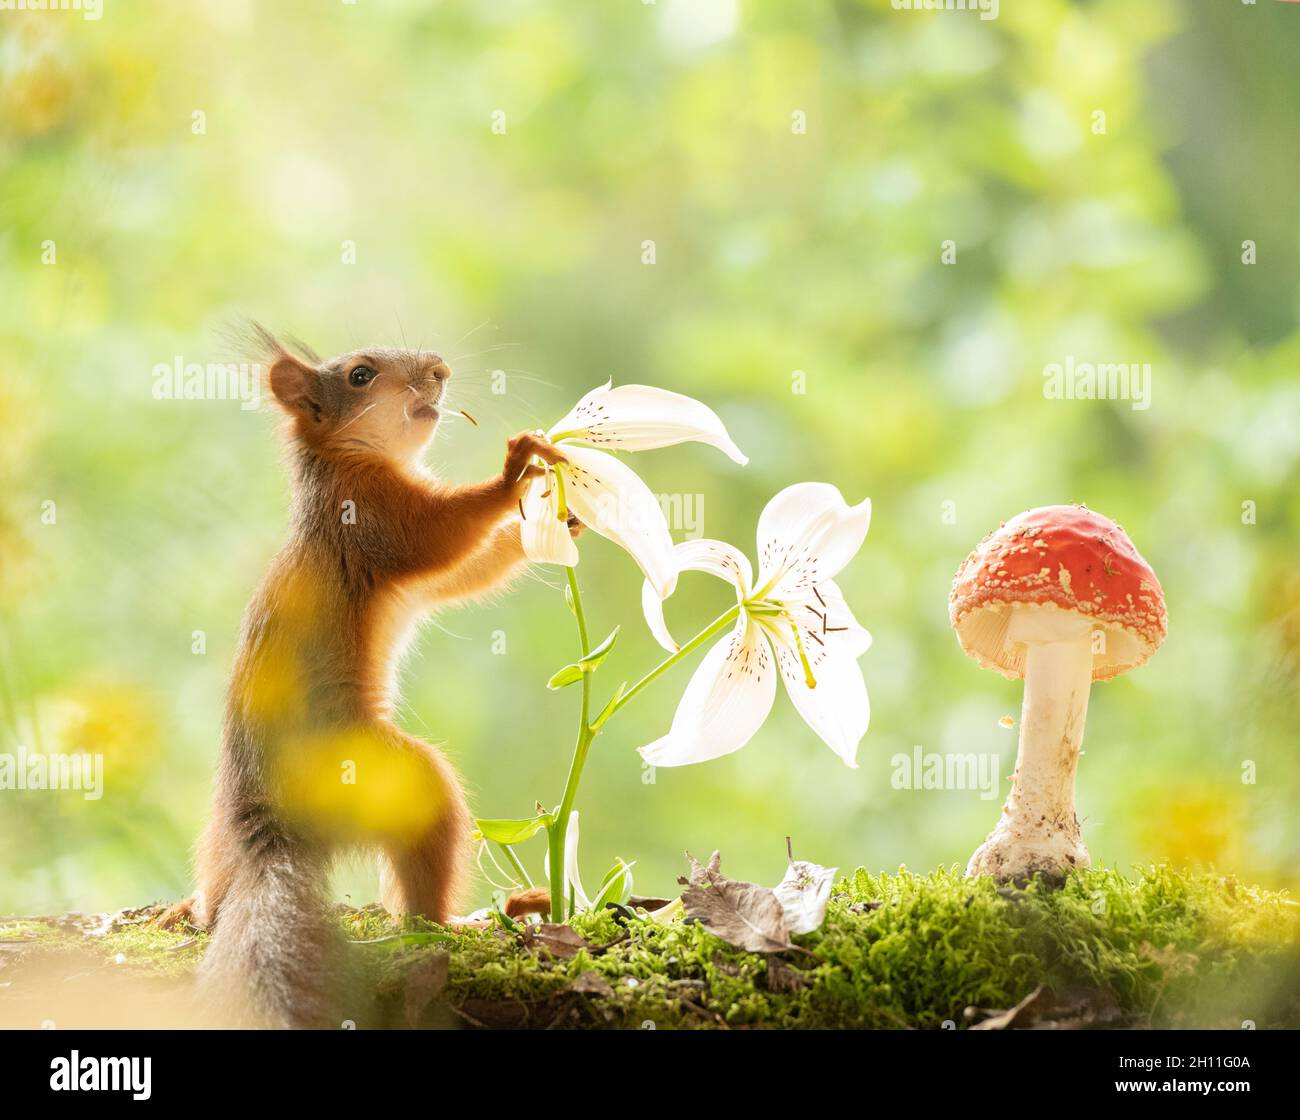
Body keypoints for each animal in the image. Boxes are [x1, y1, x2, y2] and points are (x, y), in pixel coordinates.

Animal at [159, 326, 571, 1027]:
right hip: (382, 777)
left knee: (218, 881)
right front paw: (515, 470)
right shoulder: (373, 517)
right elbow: (442, 537)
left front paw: (559, 521)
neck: (344, 461)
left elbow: (469, 572)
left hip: (219, 833)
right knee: (420, 899)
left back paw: (193, 907)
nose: (441, 369)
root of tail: (274, 834)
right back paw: (460, 924)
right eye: (359, 375)